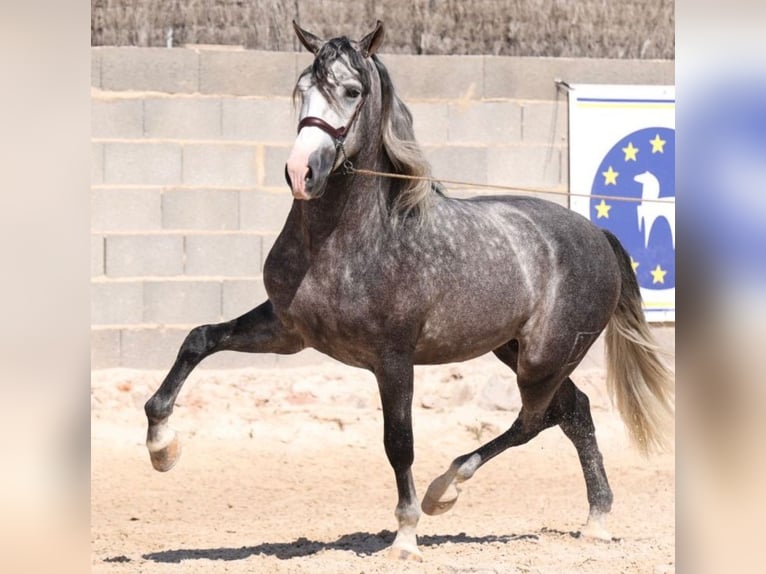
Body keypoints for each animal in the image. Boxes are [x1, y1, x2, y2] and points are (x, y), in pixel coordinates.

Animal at [142, 21, 672, 564]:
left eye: (352, 91)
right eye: (301, 89)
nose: (300, 173)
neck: (349, 241)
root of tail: (598, 234)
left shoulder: (393, 357)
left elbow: (399, 441)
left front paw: (406, 535)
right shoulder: (287, 332)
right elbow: (200, 339)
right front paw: (163, 447)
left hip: (546, 357)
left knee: (537, 419)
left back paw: (447, 489)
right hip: (516, 351)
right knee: (574, 412)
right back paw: (596, 520)